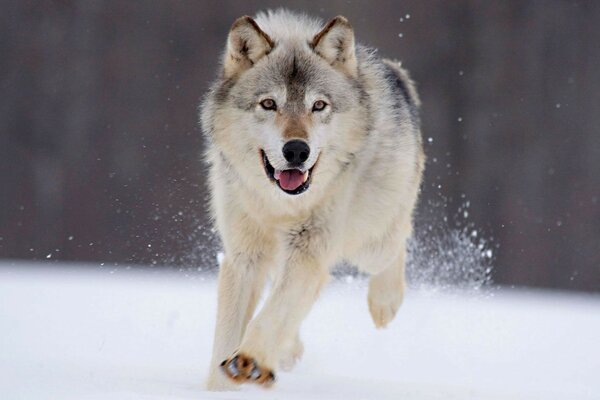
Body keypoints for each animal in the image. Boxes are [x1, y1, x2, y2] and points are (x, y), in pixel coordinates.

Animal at [199, 8, 424, 390]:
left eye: (318, 105)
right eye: (269, 104)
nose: (296, 150)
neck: (280, 206)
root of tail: (395, 74)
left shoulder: (308, 249)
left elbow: (273, 312)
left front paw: (250, 360)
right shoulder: (244, 256)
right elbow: (228, 335)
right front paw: (223, 384)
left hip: (368, 242)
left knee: (397, 241)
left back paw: (385, 303)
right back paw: (288, 351)